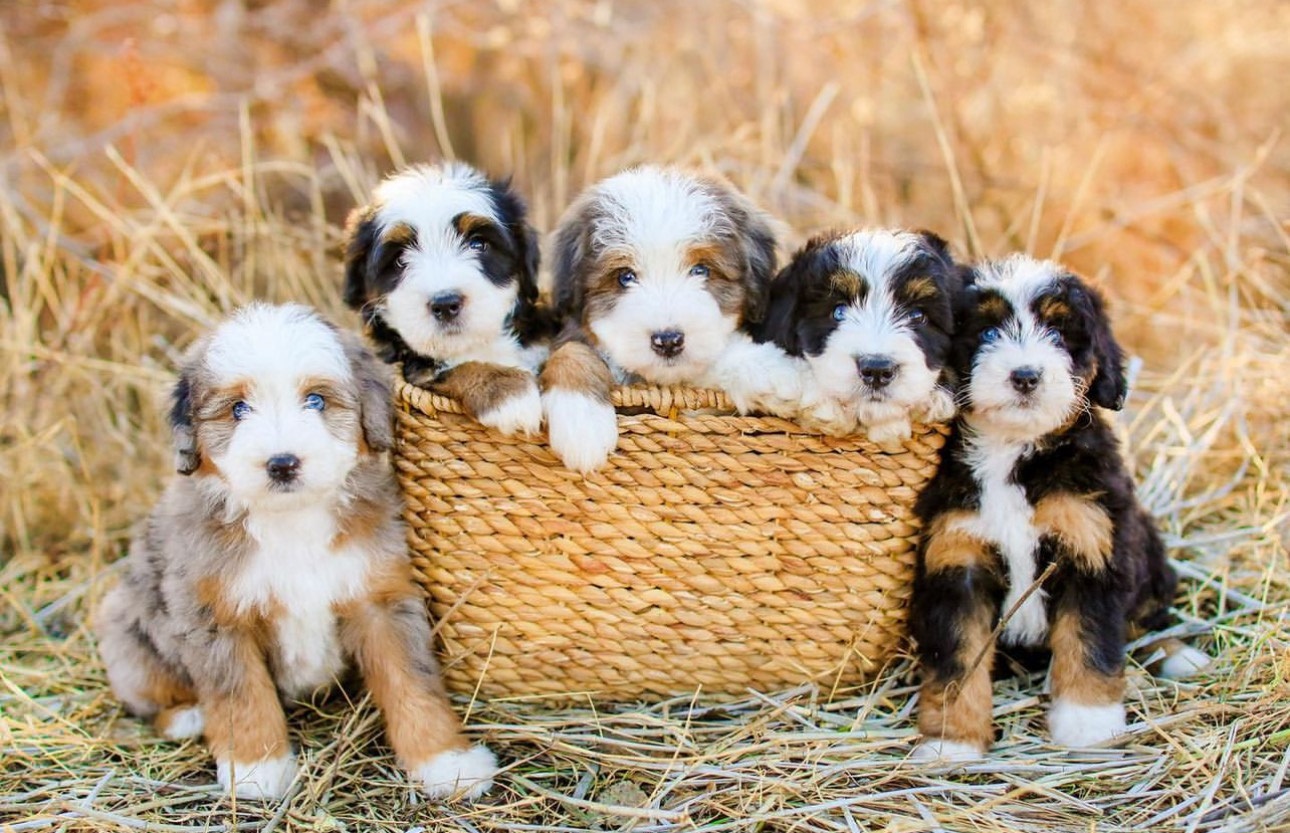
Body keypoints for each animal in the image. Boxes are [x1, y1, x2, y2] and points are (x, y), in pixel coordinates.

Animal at [539, 166, 799, 474]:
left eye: (701, 270)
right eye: (625, 276)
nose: (668, 341)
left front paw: (770, 373)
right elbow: (570, 352)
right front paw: (582, 421)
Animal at [913, 256, 1202, 763]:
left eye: (1058, 332)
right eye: (987, 332)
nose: (1026, 375)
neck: (1011, 452)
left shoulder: (1091, 546)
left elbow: (1089, 643)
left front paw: (1089, 725)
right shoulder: (956, 559)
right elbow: (956, 661)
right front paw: (951, 742)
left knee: (1149, 613)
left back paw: (1176, 652)